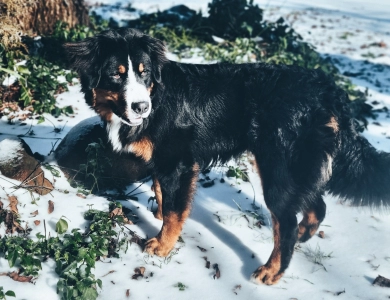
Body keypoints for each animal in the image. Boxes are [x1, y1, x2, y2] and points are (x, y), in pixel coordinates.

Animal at [64, 28, 390, 286]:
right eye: (115, 74)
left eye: (143, 72)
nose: (141, 107)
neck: (157, 96)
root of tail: (328, 88)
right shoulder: (164, 162)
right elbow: (162, 192)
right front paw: (159, 212)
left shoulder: (177, 162)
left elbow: (174, 210)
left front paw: (163, 244)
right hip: (293, 168)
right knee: (316, 205)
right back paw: (303, 236)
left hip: (277, 167)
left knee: (286, 222)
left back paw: (272, 270)